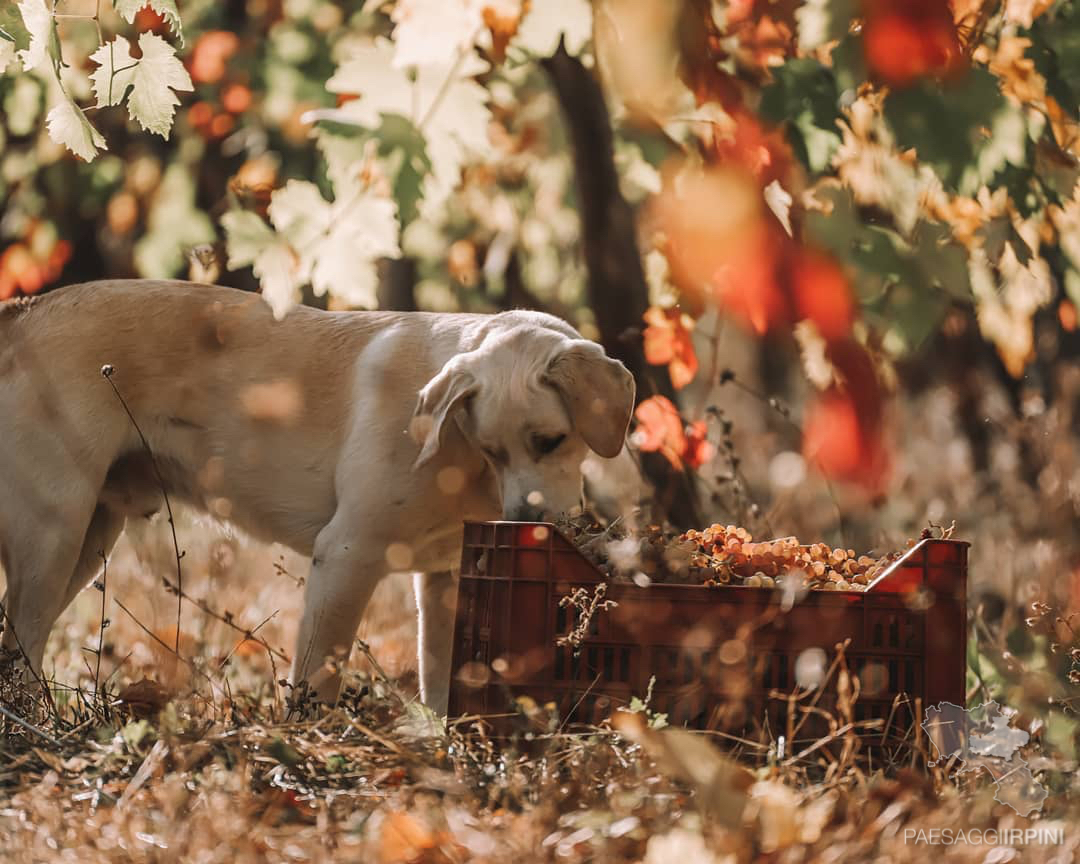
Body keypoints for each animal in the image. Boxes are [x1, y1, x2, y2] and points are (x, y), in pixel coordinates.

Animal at [0, 280, 630, 712]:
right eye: (493, 449)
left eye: (550, 442)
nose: (525, 520)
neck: (452, 453)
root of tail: (24, 312)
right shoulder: (347, 556)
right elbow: (317, 681)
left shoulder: (447, 579)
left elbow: (443, 682)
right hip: (53, 541)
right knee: (22, 641)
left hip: (88, 541)